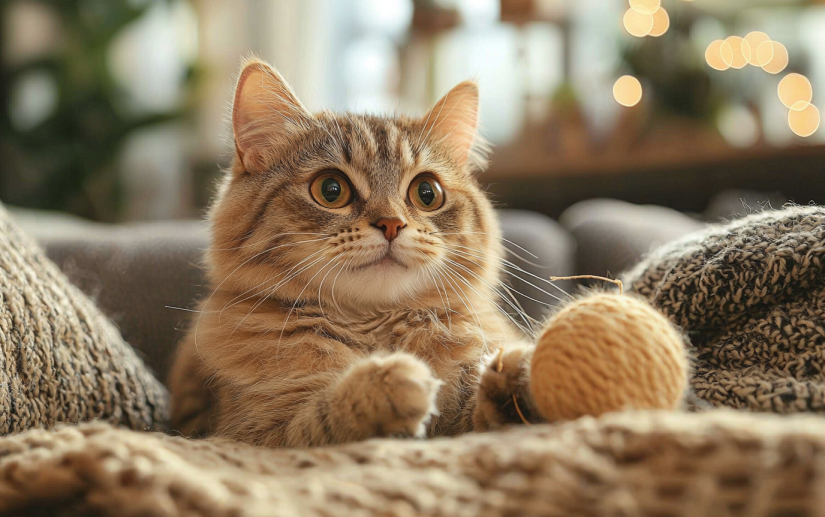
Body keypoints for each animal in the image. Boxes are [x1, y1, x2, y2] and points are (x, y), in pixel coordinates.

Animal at [167, 55, 540, 444]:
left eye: (427, 193)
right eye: (331, 190)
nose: (391, 224)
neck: (372, 325)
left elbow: (473, 406)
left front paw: (522, 374)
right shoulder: (248, 432)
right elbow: (321, 416)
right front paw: (387, 383)